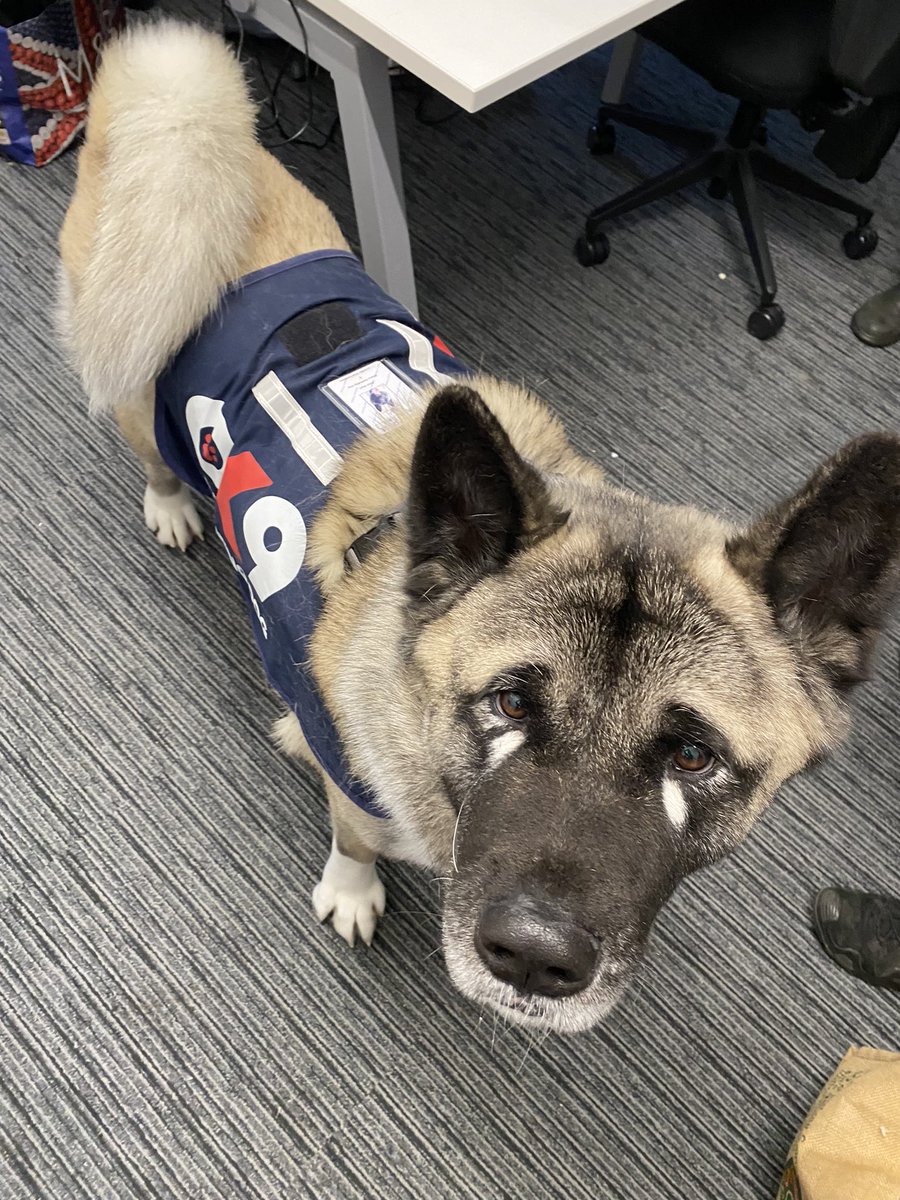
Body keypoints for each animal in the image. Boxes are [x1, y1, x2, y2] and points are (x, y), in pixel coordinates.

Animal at [60, 18, 900, 1036]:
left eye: (694, 755)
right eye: (508, 705)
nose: (535, 959)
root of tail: (180, 130)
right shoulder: (355, 773)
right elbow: (353, 829)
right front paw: (352, 882)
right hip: (142, 396)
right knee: (145, 444)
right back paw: (174, 506)